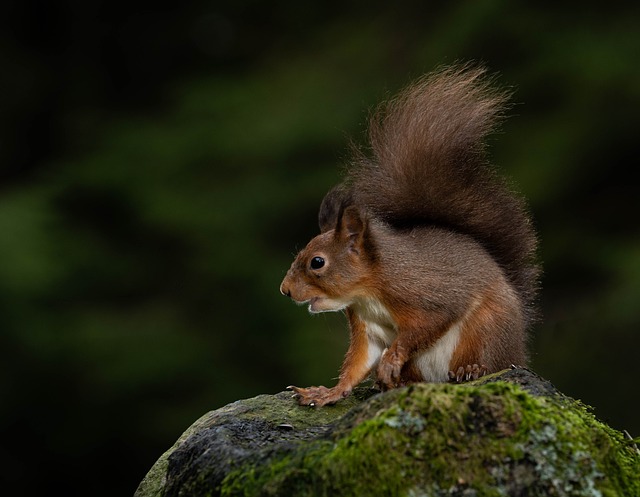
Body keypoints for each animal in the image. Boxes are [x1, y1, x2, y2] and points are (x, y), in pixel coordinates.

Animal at [280, 65, 540, 406]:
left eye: (317, 262)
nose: (284, 290)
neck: (369, 289)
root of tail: (519, 348)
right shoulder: (365, 326)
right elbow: (358, 361)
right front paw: (328, 392)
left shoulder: (426, 295)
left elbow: (425, 327)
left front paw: (391, 360)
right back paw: (395, 384)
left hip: (488, 328)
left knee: (489, 359)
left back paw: (470, 369)